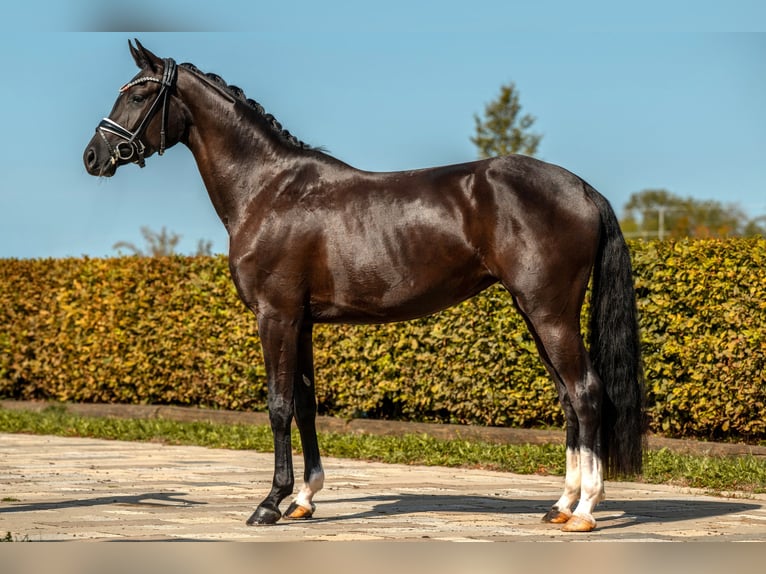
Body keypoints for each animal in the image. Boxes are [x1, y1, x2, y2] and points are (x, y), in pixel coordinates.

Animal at [83, 40, 644, 532]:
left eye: (138, 95)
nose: (93, 156)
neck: (268, 189)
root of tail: (581, 188)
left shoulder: (275, 315)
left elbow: (278, 405)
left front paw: (269, 503)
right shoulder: (302, 321)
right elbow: (305, 404)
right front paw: (303, 500)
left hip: (550, 313)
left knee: (587, 393)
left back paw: (586, 510)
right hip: (535, 314)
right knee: (568, 397)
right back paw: (560, 505)